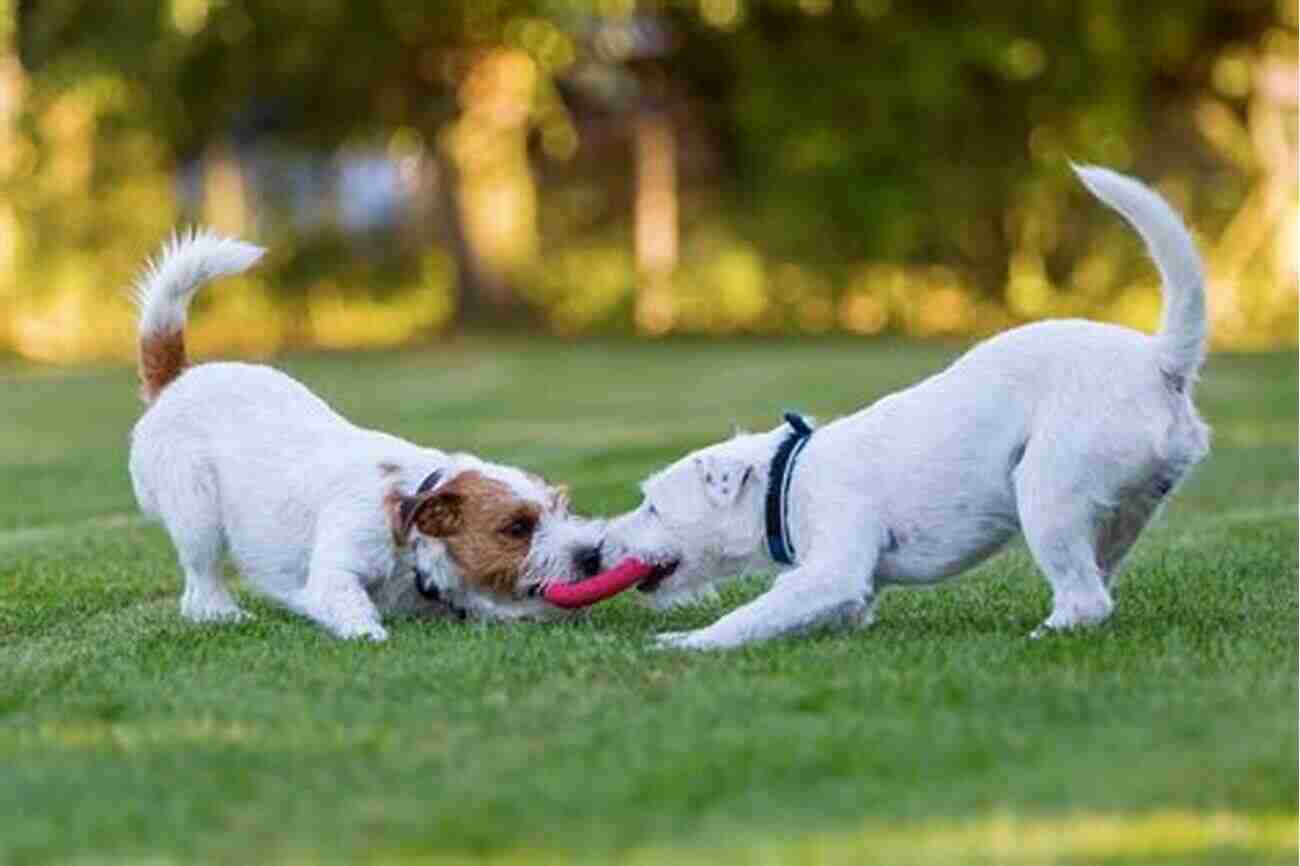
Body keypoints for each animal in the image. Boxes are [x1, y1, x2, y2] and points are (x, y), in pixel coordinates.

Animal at [126, 227, 603, 634]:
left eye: (562, 507)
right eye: (516, 528)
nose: (592, 555)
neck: (408, 529)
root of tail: (178, 377)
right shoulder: (335, 571)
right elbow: (347, 601)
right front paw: (367, 633)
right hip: (197, 516)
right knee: (200, 581)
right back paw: (222, 612)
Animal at [603, 165, 1211, 644]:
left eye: (653, 507)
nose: (600, 548)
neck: (785, 480)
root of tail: (1160, 361)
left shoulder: (833, 569)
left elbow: (748, 616)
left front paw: (683, 642)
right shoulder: (843, 592)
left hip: (1047, 490)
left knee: (1086, 599)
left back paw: (1043, 635)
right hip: (1120, 512)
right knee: (1096, 582)